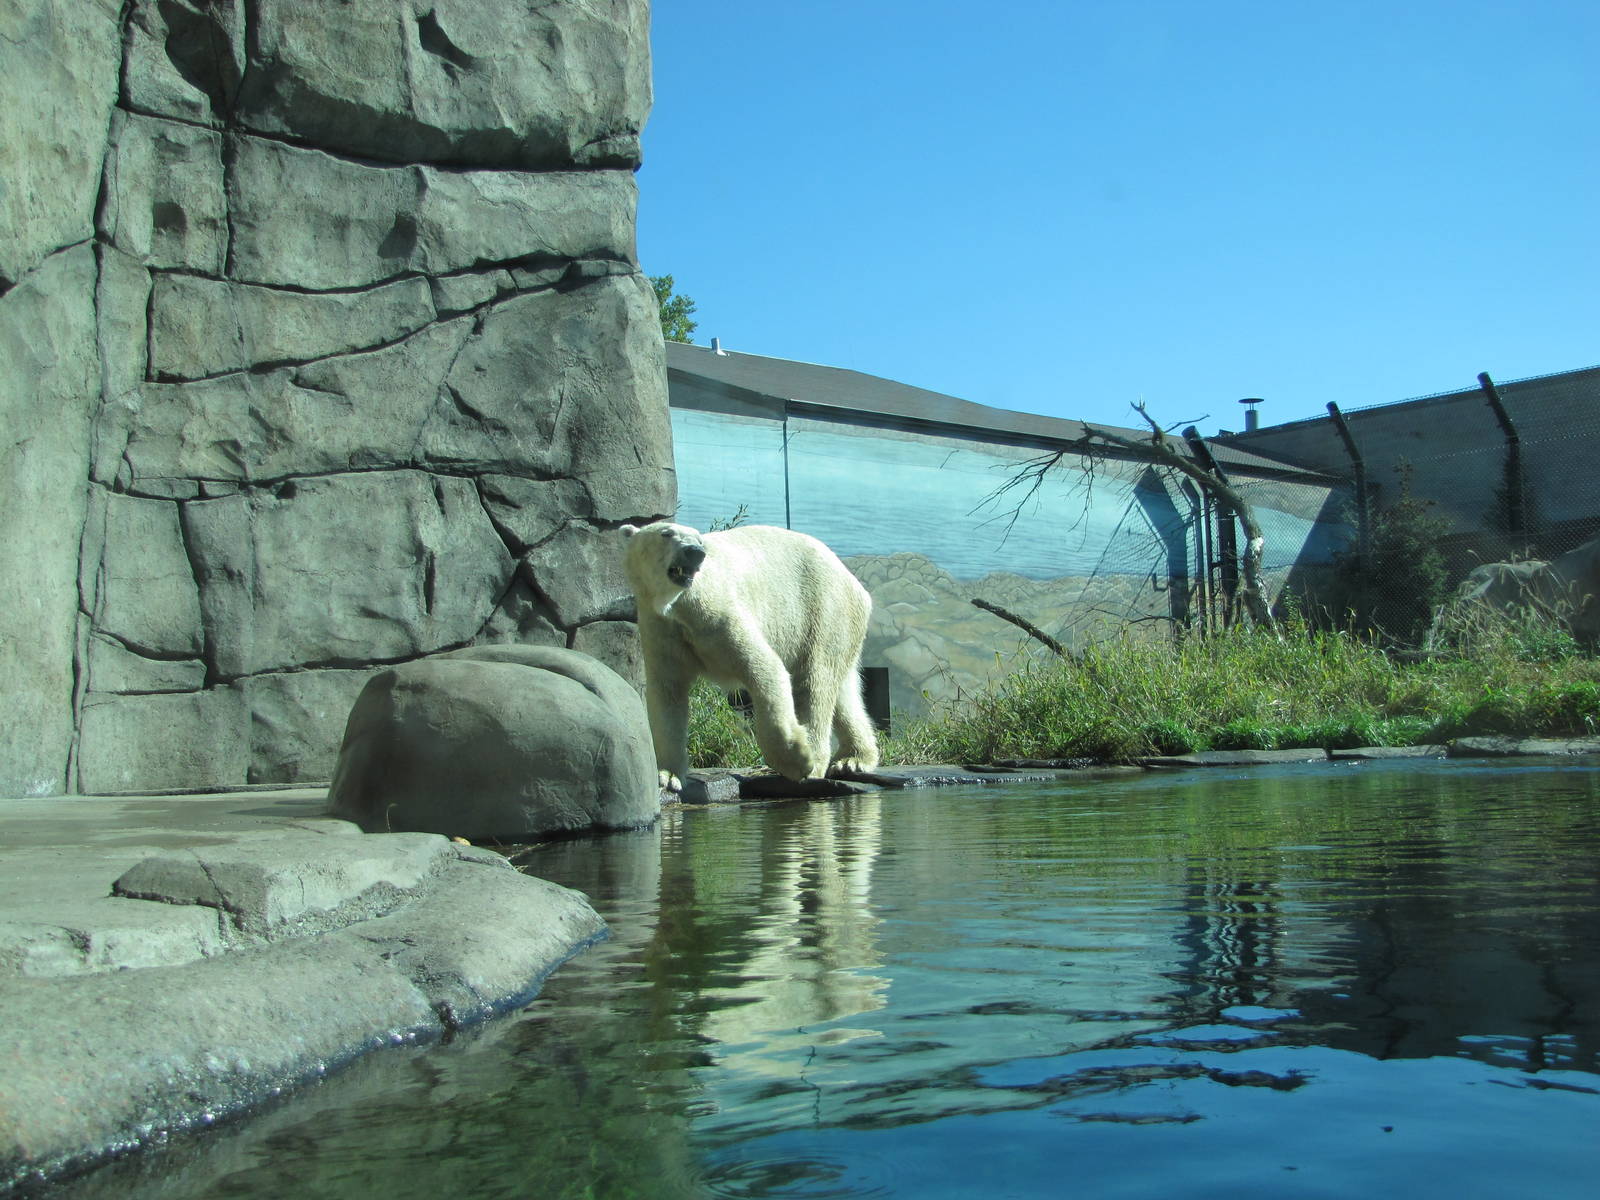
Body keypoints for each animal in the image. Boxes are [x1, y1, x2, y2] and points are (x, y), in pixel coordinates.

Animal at [619, 521, 880, 789]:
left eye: (700, 539)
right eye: (666, 533)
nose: (695, 551)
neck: (679, 604)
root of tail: (853, 581)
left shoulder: (718, 615)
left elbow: (766, 670)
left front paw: (798, 760)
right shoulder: (661, 628)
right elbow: (667, 694)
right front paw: (667, 776)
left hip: (823, 611)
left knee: (815, 682)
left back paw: (818, 761)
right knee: (842, 690)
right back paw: (853, 759)